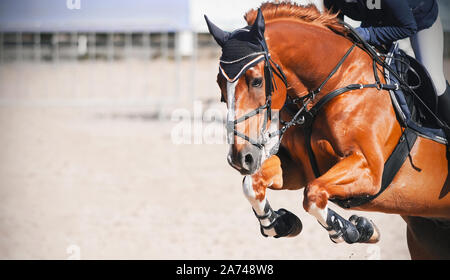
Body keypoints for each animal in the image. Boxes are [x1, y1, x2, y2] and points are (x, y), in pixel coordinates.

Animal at [207, 2, 450, 260]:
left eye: (256, 81)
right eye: (220, 85)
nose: (240, 158)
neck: (333, 83)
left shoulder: (369, 170)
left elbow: (313, 194)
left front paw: (357, 229)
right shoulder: (299, 167)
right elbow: (252, 184)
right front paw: (280, 223)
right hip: (426, 234)